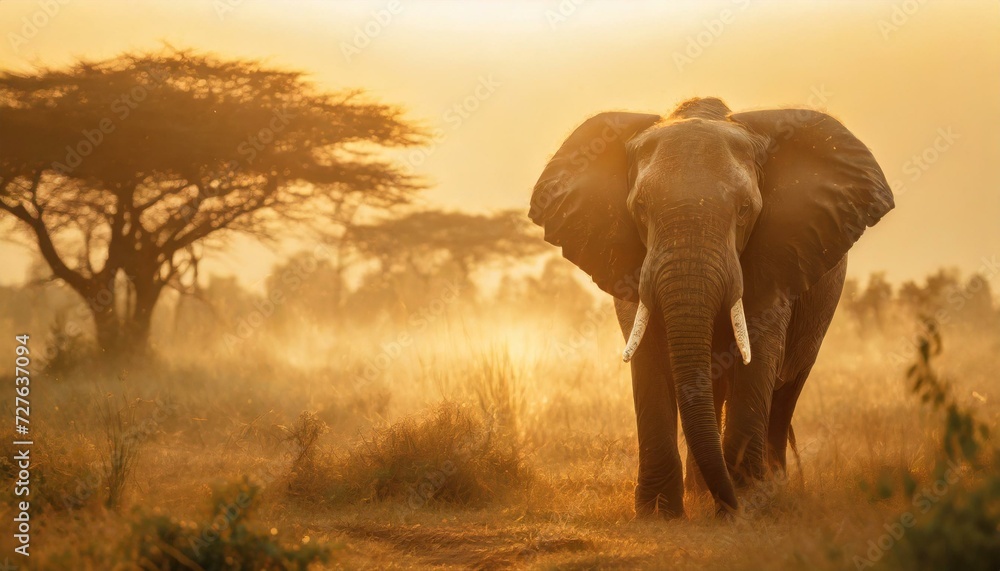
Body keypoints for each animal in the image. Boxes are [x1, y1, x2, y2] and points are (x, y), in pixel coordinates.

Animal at [528, 97, 893, 518]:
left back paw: (772, 487)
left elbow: (759, 352)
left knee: (787, 390)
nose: (729, 504)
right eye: (640, 208)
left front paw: (747, 506)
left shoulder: (776, 255)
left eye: (745, 209)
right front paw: (659, 515)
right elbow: (648, 355)